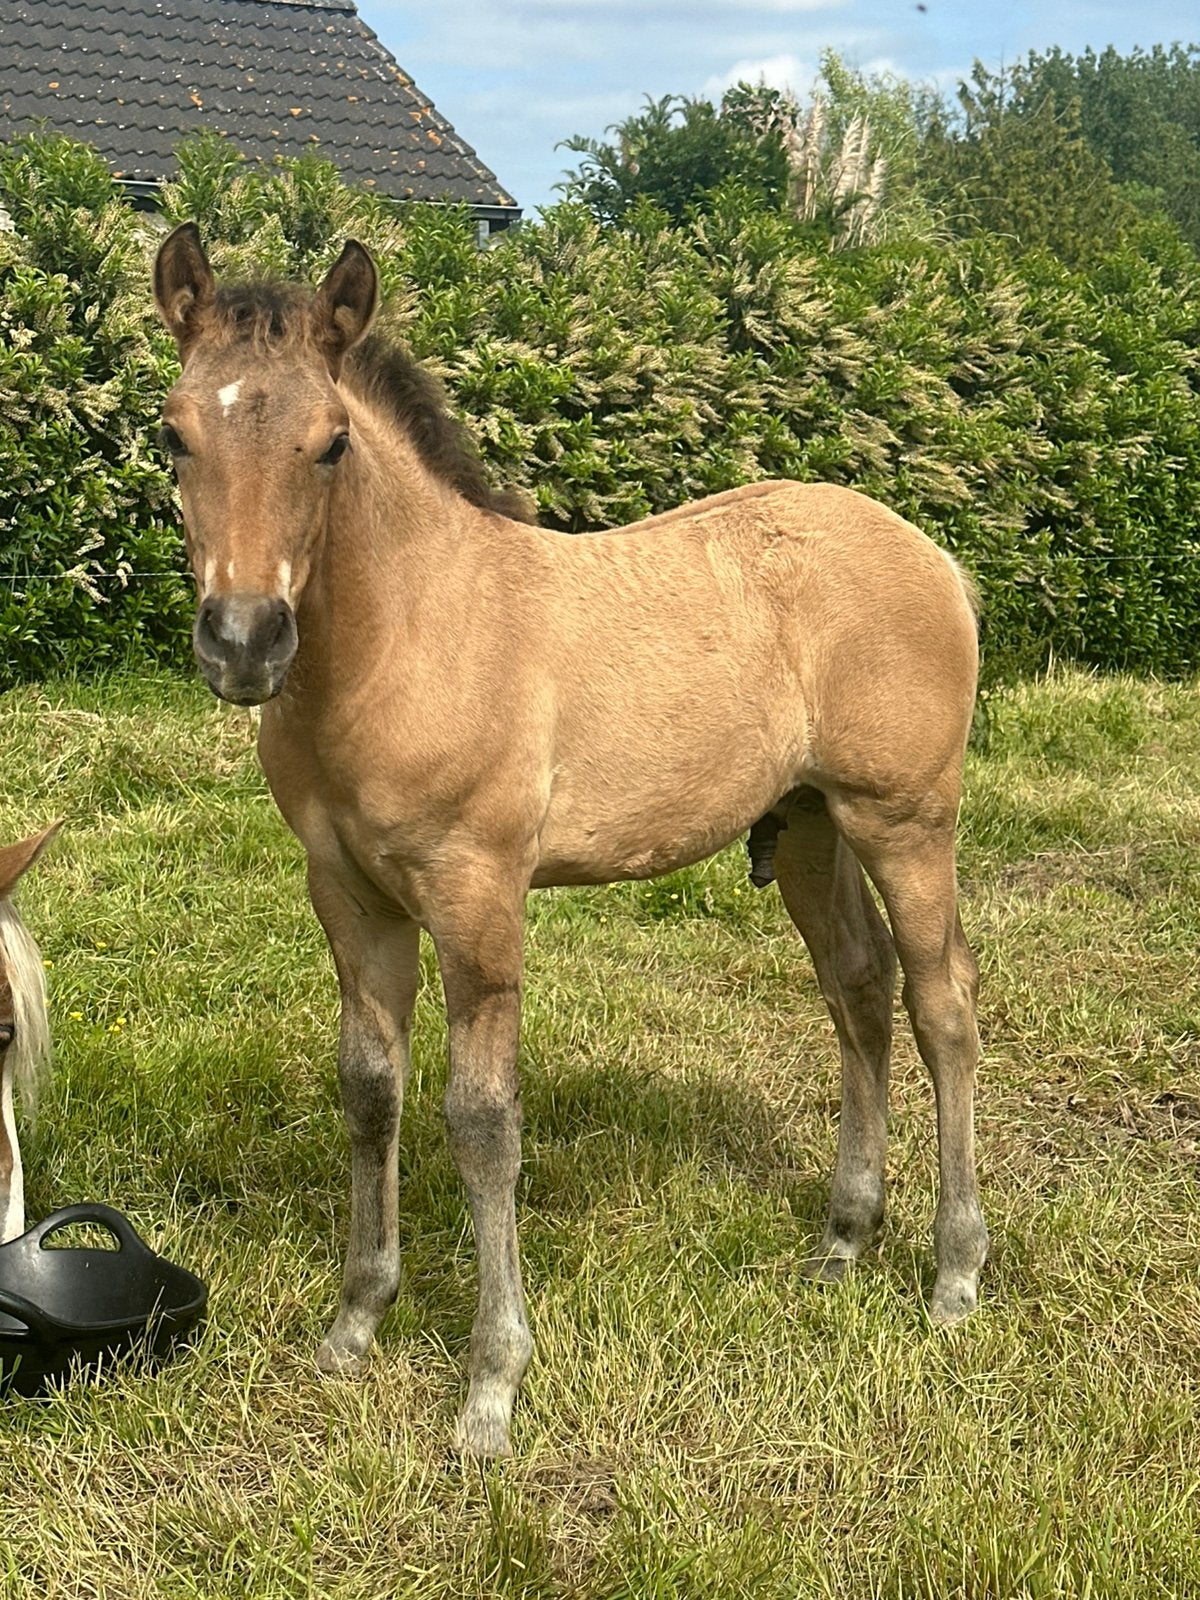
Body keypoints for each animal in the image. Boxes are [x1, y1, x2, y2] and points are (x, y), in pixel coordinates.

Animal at [153, 224, 987, 1458]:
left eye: (332, 444)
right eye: (173, 433)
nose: (245, 642)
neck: (409, 634)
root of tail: (932, 556)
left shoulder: (478, 894)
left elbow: (482, 1121)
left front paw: (491, 1388)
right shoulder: (349, 895)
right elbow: (370, 1089)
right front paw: (355, 1323)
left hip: (906, 819)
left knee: (943, 1007)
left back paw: (955, 1273)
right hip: (806, 826)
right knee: (859, 987)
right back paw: (844, 1239)